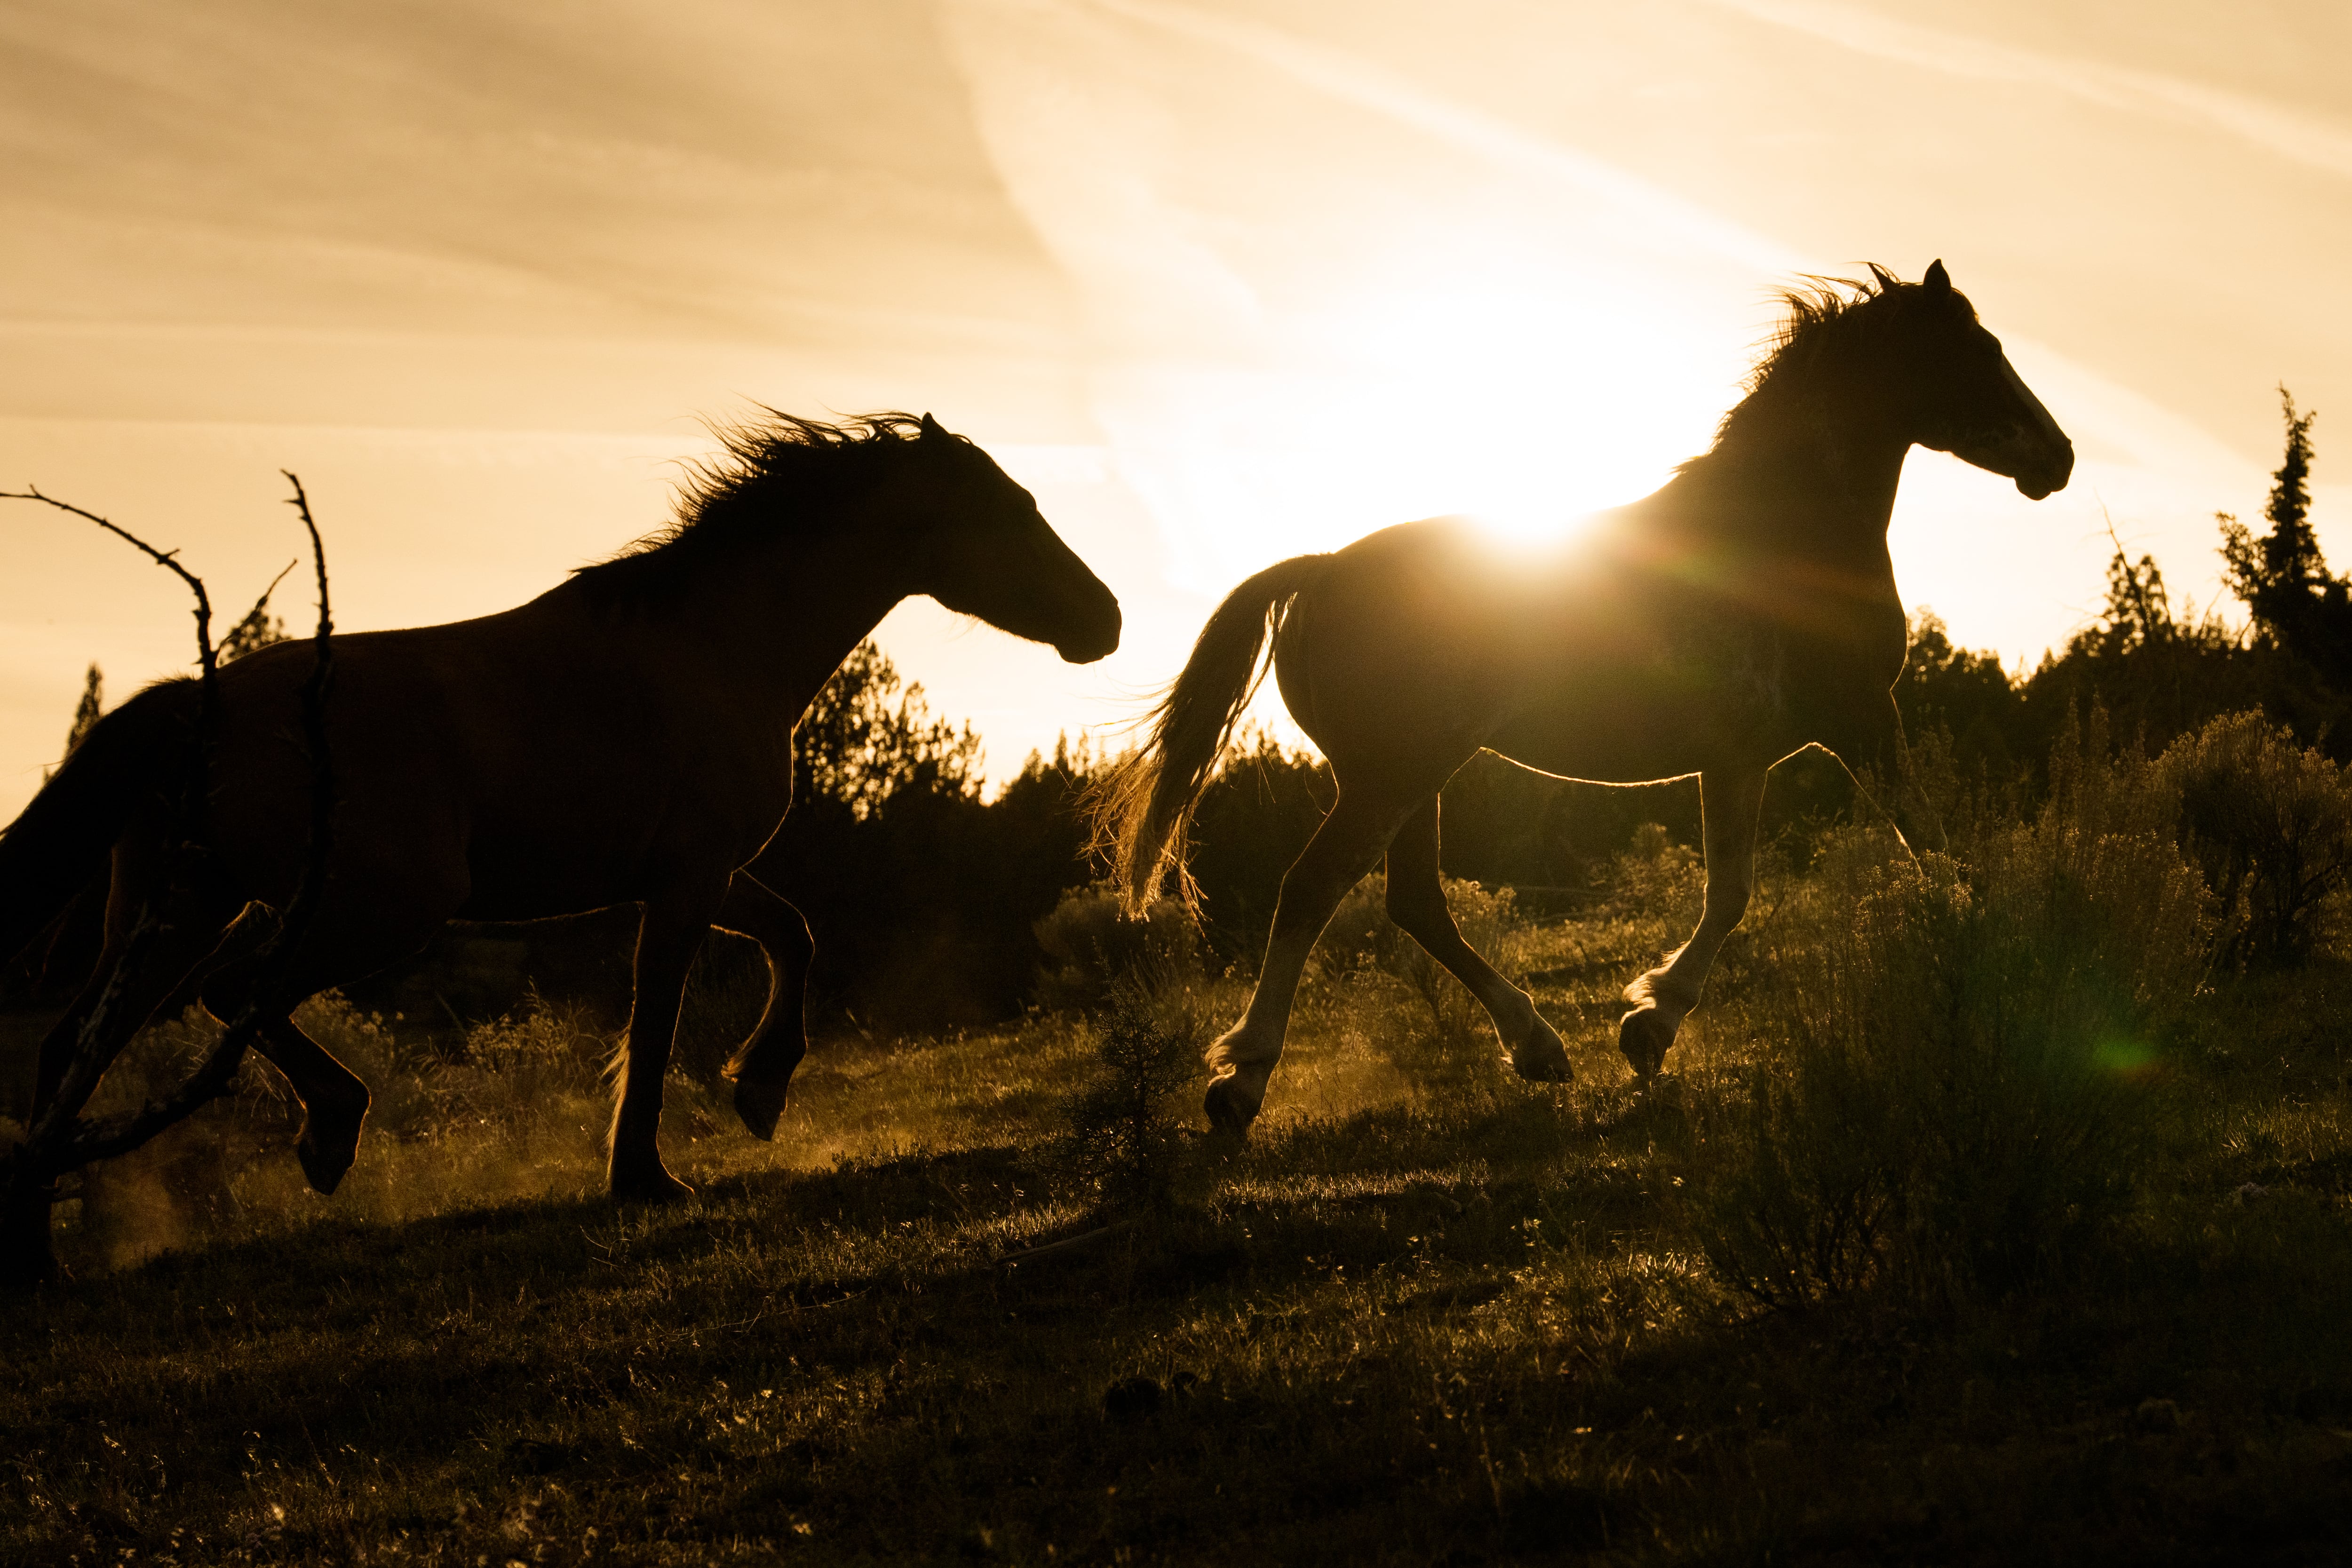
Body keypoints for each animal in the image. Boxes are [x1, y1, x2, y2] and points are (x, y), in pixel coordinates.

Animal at [3, 412, 1121, 1202]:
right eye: (1010, 511)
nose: (1105, 620)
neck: (715, 649)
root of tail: (194, 706)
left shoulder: (696, 871)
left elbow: (792, 935)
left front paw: (758, 1090)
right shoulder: (684, 879)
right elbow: (659, 1016)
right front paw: (649, 1175)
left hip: (183, 908)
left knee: (76, 1048)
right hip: (369, 906)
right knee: (231, 996)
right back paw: (331, 1130)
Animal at [1095, 261, 2072, 1135]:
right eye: (1980, 350)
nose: (2058, 459)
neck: (1784, 536)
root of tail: (1322, 570)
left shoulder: (1739, 758)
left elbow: (1734, 890)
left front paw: (1648, 1027)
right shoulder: (1860, 719)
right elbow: (1926, 850)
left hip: (1413, 777)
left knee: (1414, 903)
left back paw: (1538, 1049)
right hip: (1392, 775)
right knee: (1314, 890)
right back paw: (1241, 1084)